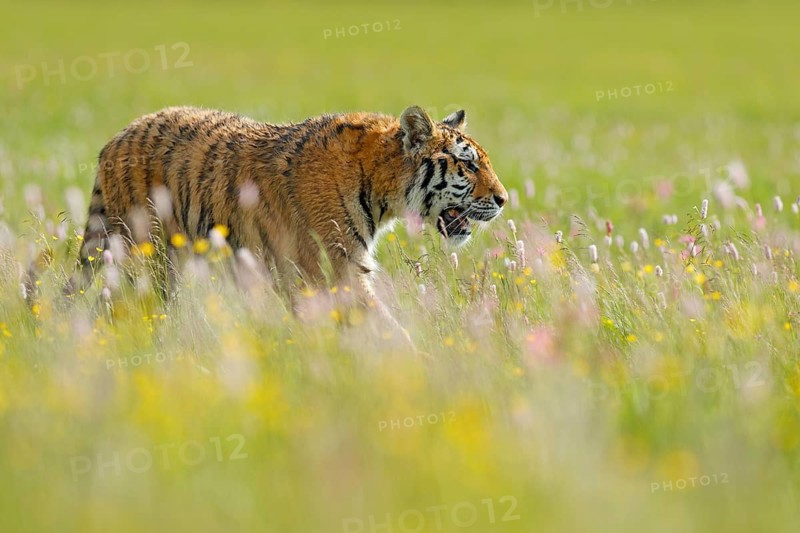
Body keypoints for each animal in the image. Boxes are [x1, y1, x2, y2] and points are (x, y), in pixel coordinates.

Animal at [75, 105, 508, 313]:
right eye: (469, 165)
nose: (504, 200)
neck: (384, 189)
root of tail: (114, 138)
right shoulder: (335, 269)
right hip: (146, 254)